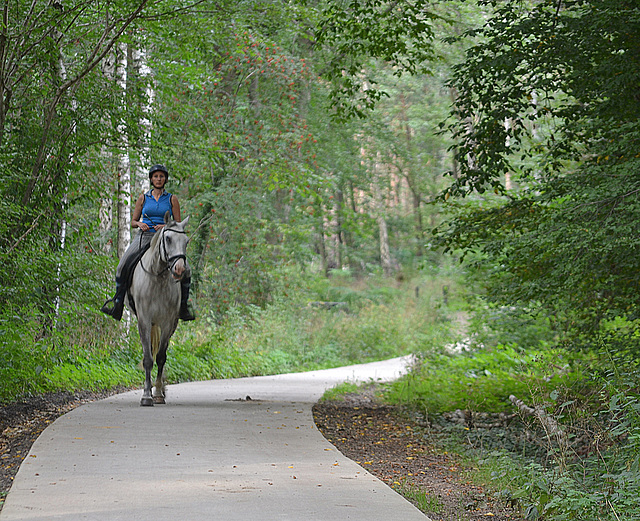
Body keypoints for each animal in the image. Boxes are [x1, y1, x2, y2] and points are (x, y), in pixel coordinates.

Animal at [129, 209, 190, 404]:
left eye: (186, 241)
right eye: (168, 239)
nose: (179, 269)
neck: (158, 278)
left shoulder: (168, 322)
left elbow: (161, 357)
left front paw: (157, 393)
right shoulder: (144, 320)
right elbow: (148, 358)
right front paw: (146, 396)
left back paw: (161, 389)